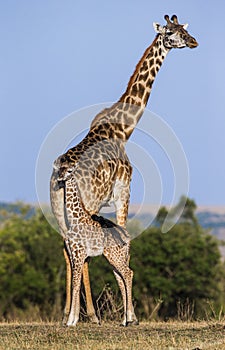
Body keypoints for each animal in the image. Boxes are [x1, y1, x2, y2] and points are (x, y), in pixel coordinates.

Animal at [50, 13, 198, 326]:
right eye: (171, 33)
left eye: (184, 29)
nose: (194, 41)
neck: (124, 129)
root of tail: (57, 173)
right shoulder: (123, 189)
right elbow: (124, 238)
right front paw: (131, 315)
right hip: (89, 200)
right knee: (78, 250)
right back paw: (90, 315)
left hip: (57, 208)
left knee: (67, 248)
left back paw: (70, 313)